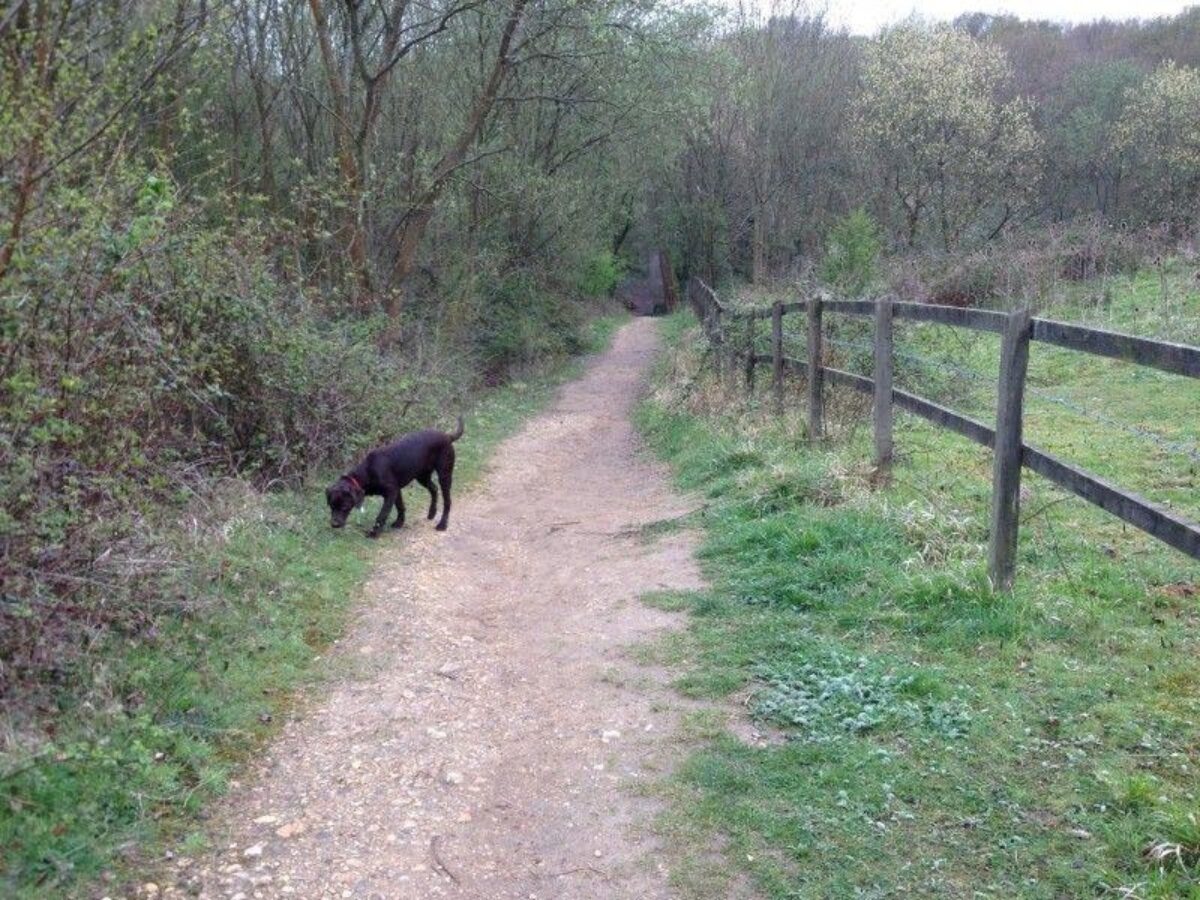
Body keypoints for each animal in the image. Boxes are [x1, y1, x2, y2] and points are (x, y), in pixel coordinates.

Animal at [326, 420, 460, 540]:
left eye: (344, 506)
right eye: (331, 506)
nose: (334, 524)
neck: (368, 472)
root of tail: (447, 436)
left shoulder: (391, 491)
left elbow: (382, 514)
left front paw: (374, 533)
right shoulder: (396, 490)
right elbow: (400, 507)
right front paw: (399, 523)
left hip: (444, 475)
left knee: (447, 501)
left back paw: (442, 524)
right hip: (422, 477)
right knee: (434, 489)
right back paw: (432, 513)